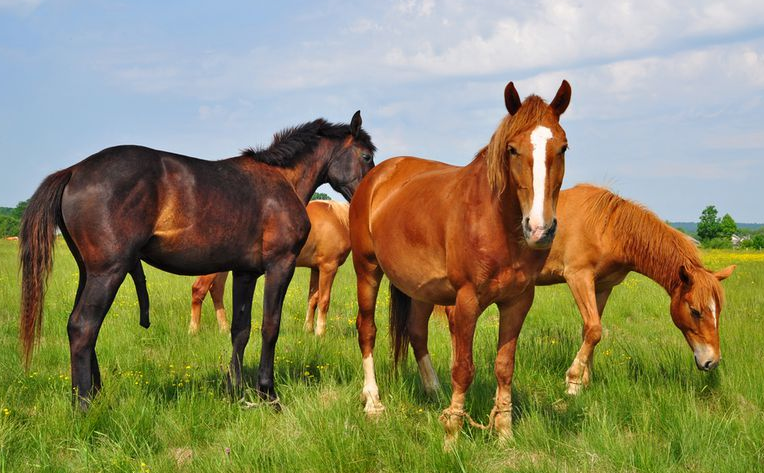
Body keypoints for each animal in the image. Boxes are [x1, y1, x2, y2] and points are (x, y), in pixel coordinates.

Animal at [189, 199, 351, 337]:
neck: (338, 219)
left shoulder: (316, 268)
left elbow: (313, 299)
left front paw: (308, 330)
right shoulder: (329, 267)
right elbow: (324, 300)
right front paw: (320, 334)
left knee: (216, 290)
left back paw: (224, 329)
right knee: (199, 289)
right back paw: (194, 331)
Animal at [349, 80, 571, 444]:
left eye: (563, 148)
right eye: (512, 150)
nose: (540, 228)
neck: (495, 222)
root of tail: (376, 176)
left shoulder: (518, 301)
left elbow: (504, 367)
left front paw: (504, 433)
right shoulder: (467, 300)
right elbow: (463, 368)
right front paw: (451, 434)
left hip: (420, 288)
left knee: (416, 332)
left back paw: (433, 390)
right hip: (366, 268)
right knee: (367, 329)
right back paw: (374, 403)